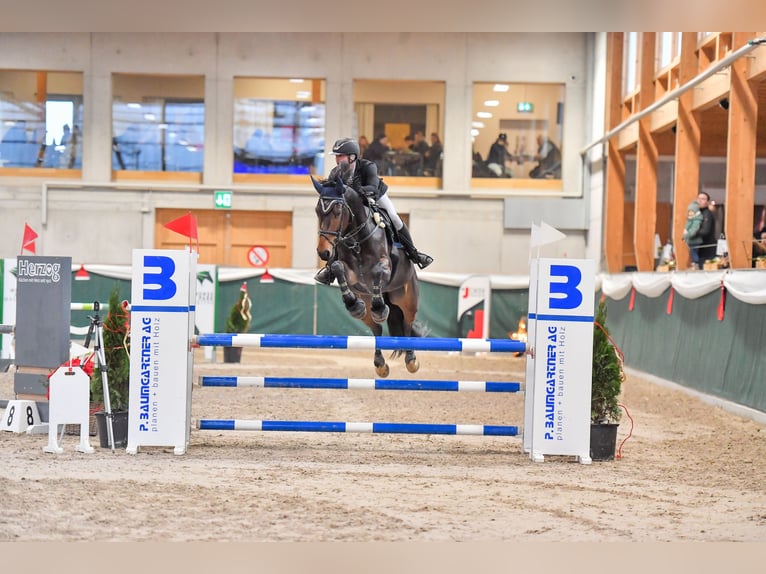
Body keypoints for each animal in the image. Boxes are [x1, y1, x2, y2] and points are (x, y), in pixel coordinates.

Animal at [312, 178, 426, 380]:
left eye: (338, 211)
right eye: (318, 211)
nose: (323, 252)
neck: (357, 237)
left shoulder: (385, 267)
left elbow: (378, 272)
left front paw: (379, 307)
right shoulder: (350, 274)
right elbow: (338, 267)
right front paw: (353, 303)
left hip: (407, 299)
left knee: (407, 324)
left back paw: (411, 360)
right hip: (369, 306)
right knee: (376, 329)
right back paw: (380, 364)